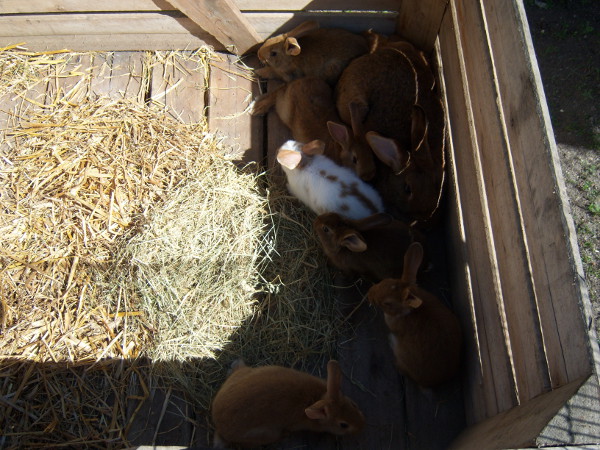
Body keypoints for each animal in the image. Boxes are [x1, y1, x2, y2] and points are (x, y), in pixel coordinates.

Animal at [211, 359, 365, 448]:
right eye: (343, 425)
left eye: (354, 405)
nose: (361, 427)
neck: (319, 397)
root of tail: (219, 424)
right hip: (266, 434)